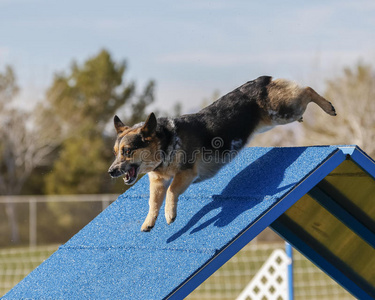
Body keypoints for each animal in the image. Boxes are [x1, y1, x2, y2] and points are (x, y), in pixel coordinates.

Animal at [108, 76, 338, 231]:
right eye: (115, 153)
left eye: (127, 151)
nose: (110, 172)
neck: (167, 145)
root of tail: (261, 79)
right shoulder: (157, 181)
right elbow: (153, 201)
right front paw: (149, 222)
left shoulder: (187, 173)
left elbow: (172, 191)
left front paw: (169, 214)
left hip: (282, 112)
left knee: (307, 89)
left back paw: (329, 107)